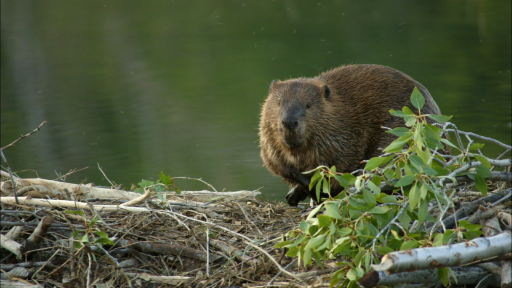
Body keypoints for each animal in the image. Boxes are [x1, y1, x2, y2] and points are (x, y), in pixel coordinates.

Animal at [258, 64, 442, 206]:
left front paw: (315, 190)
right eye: (278, 103)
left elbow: (339, 169)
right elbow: (278, 164)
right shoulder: (269, 142)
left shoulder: (346, 138)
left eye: (308, 105)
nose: (289, 122)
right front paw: (296, 191)